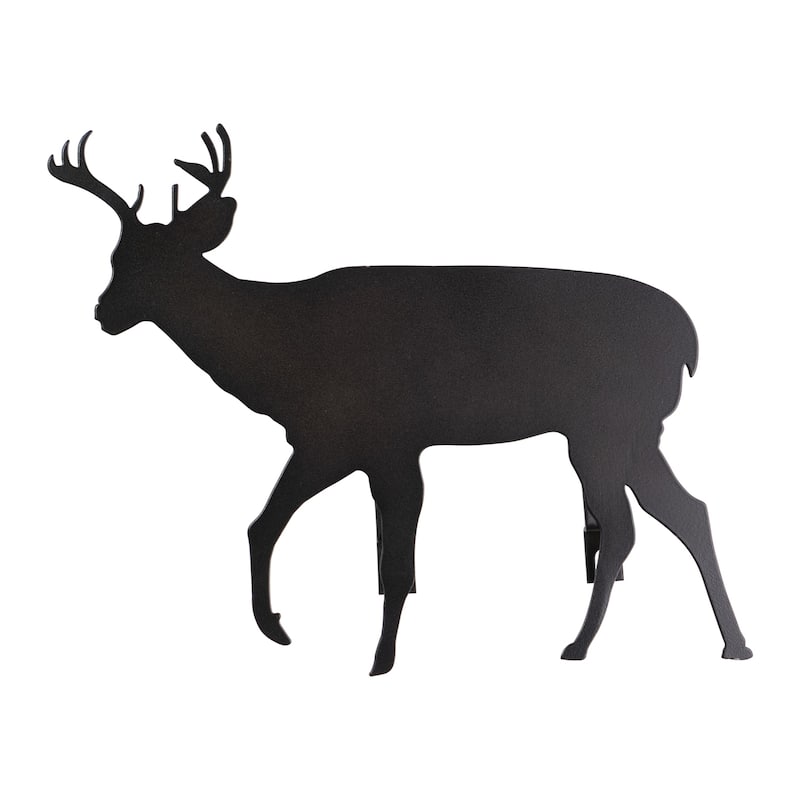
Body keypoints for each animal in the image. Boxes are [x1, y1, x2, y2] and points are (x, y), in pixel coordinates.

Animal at [48, 125, 752, 674]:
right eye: (116, 256)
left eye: (155, 263)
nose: (103, 314)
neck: (280, 352)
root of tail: (688, 336)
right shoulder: (338, 442)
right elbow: (280, 528)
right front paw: (280, 628)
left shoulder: (373, 437)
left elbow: (386, 554)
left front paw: (377, 659)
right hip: (633, 432)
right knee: (685, 511)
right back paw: (732, 645)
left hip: (602, 426)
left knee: (627, 526)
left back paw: (579, 645)